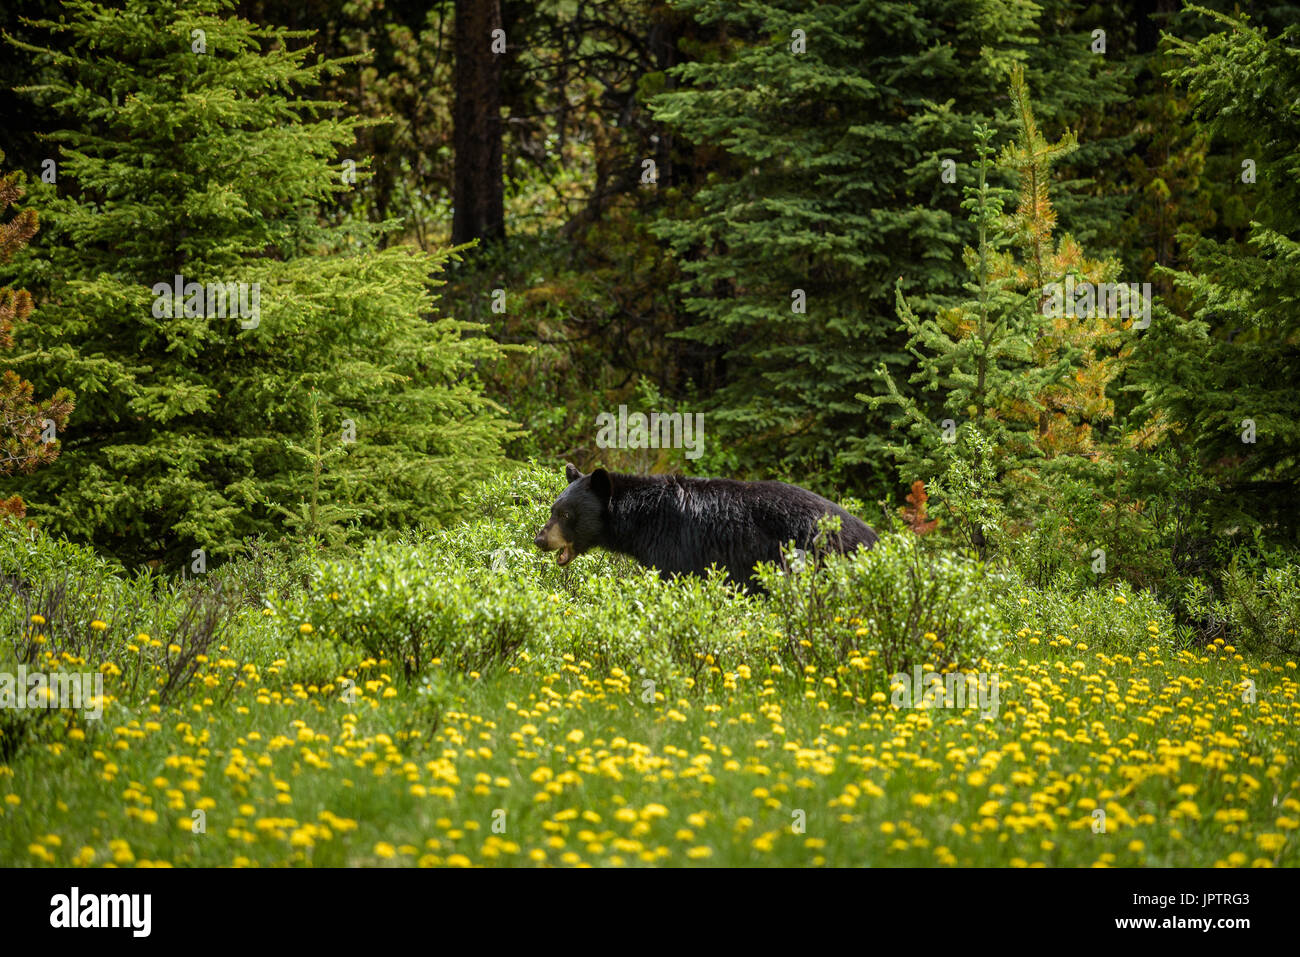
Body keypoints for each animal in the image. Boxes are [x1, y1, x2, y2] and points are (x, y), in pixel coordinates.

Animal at [533, 462, 878, 590]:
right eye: (553, 509)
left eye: (566, 515)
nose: (539, 539)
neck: (644, 518)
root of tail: (873, 537)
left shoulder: (673, 546)